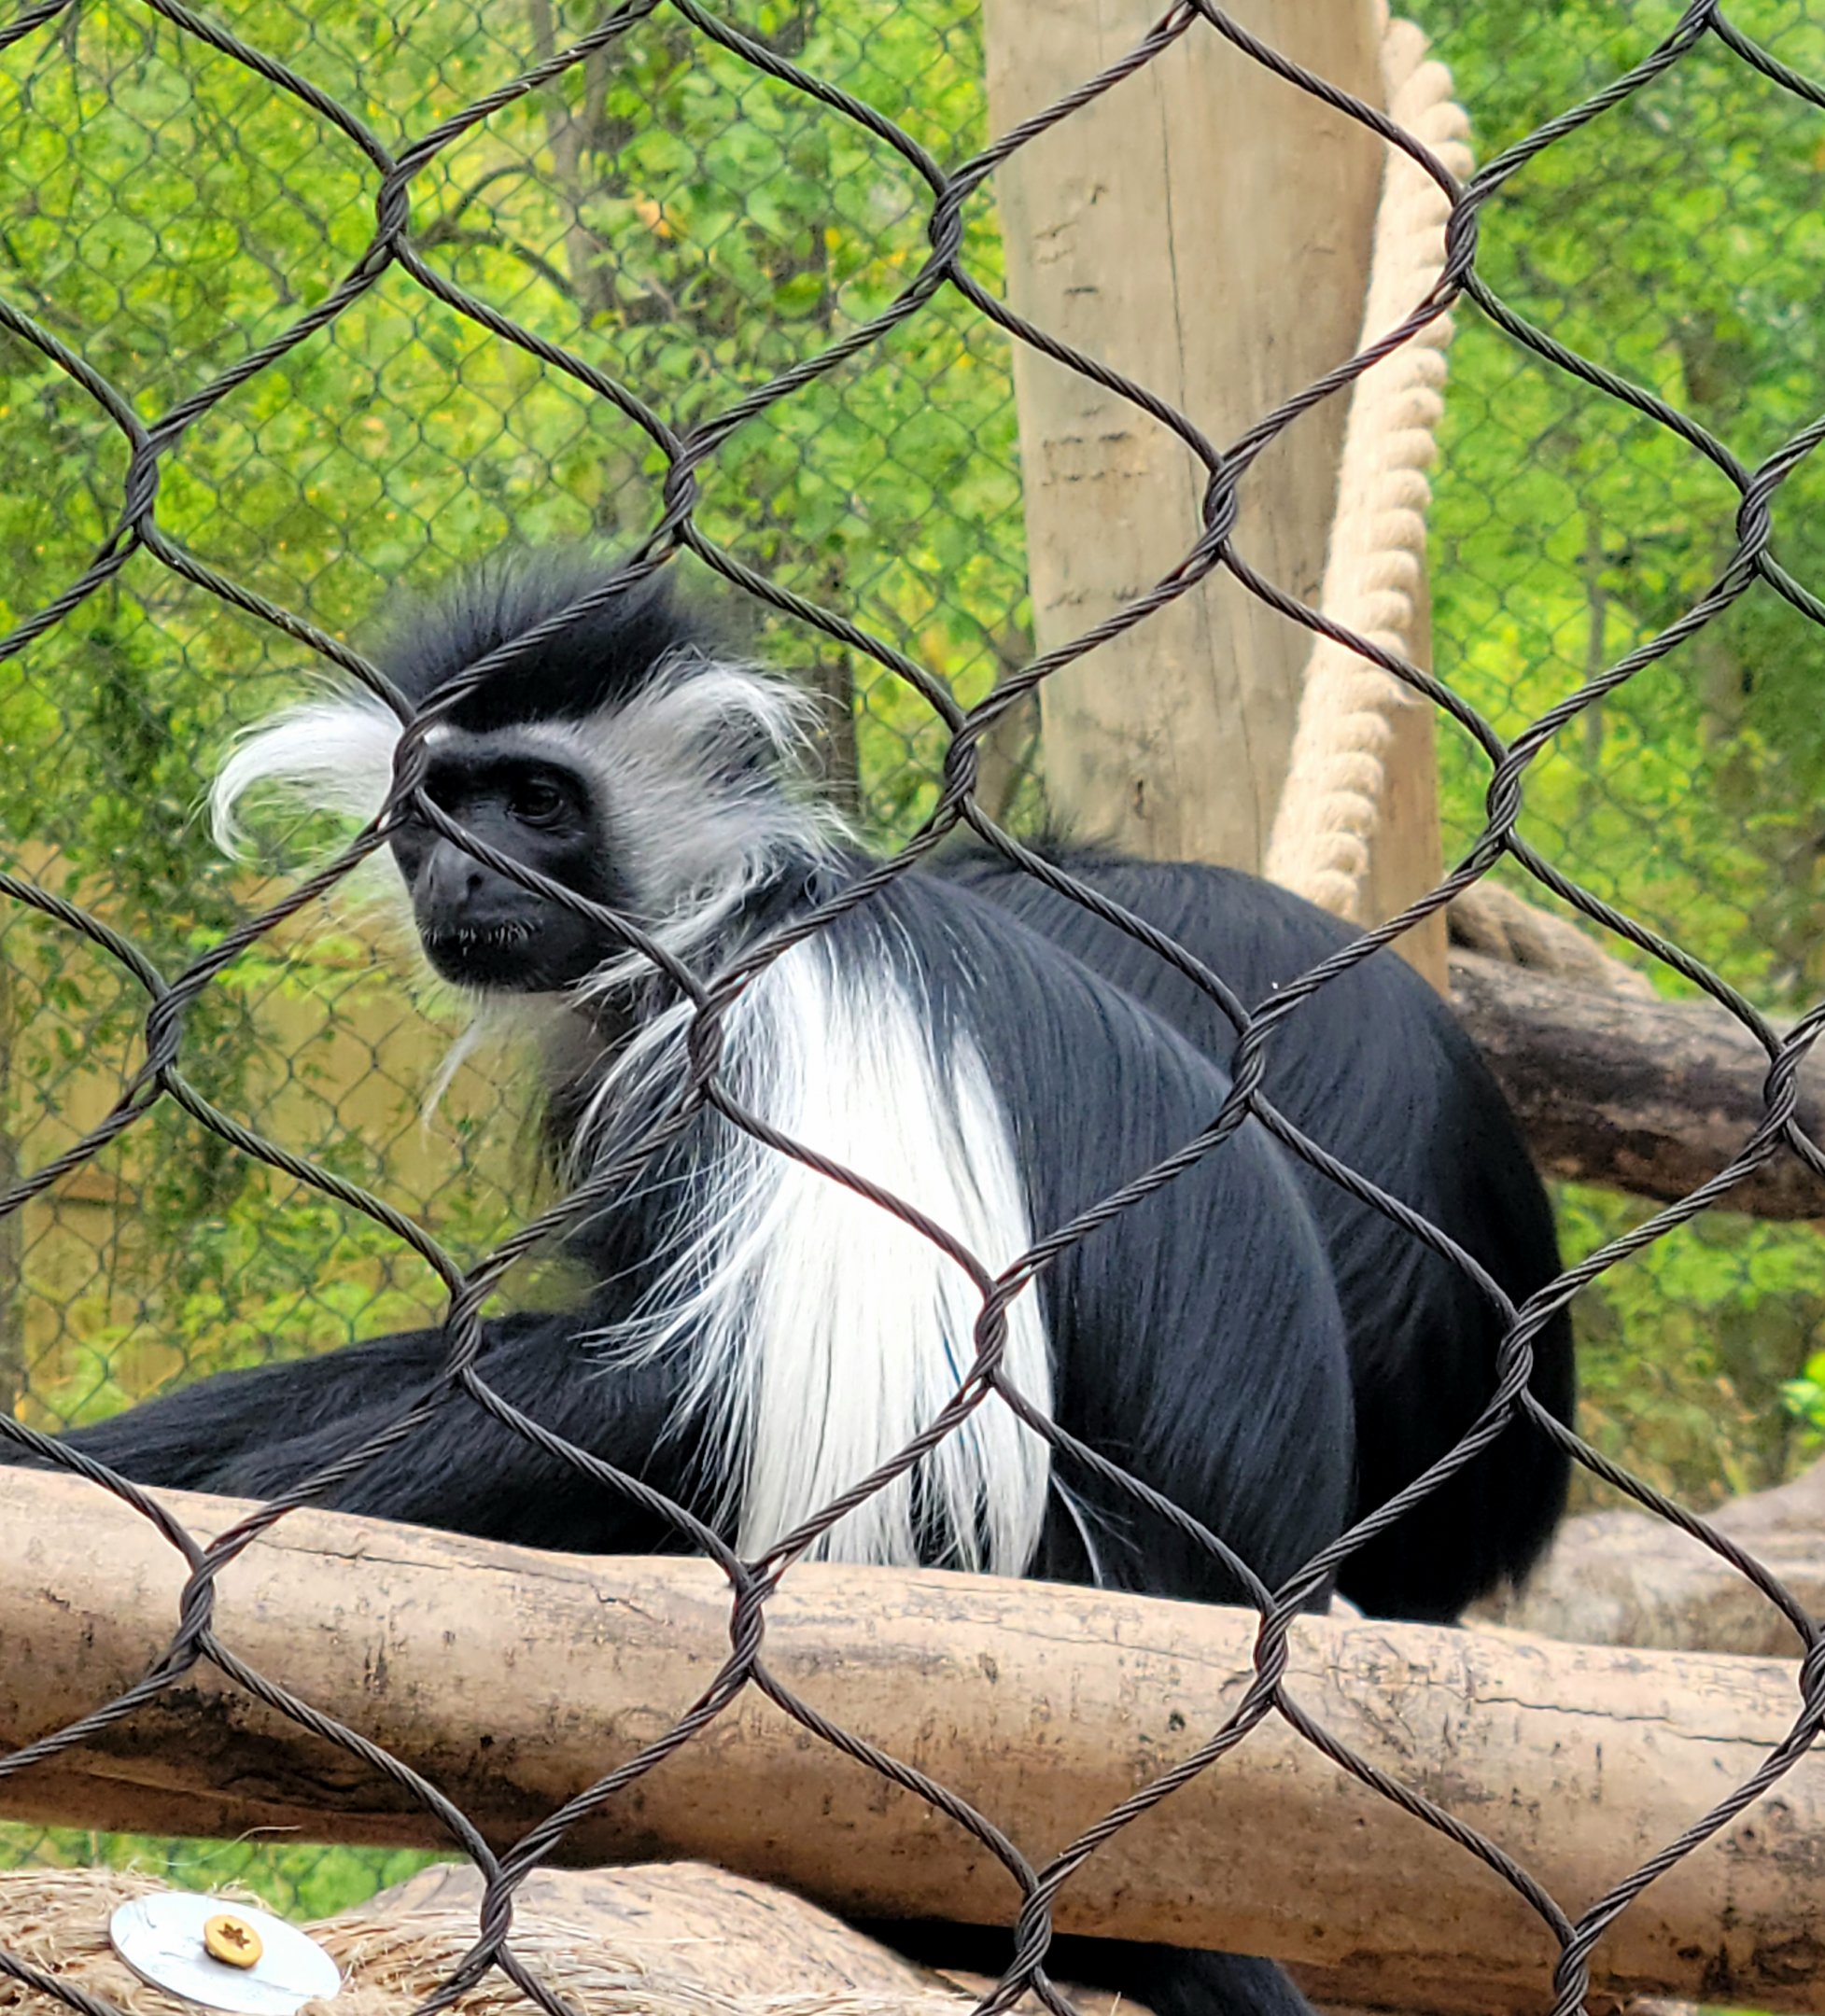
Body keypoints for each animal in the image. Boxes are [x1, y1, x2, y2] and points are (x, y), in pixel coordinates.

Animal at [17, 551, 1571, 2016]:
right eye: (431, 810)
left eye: (533, 799)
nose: (460, 877)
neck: (703, 921)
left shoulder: (778, 1025)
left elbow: (698, 1392)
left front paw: (223, 1543)